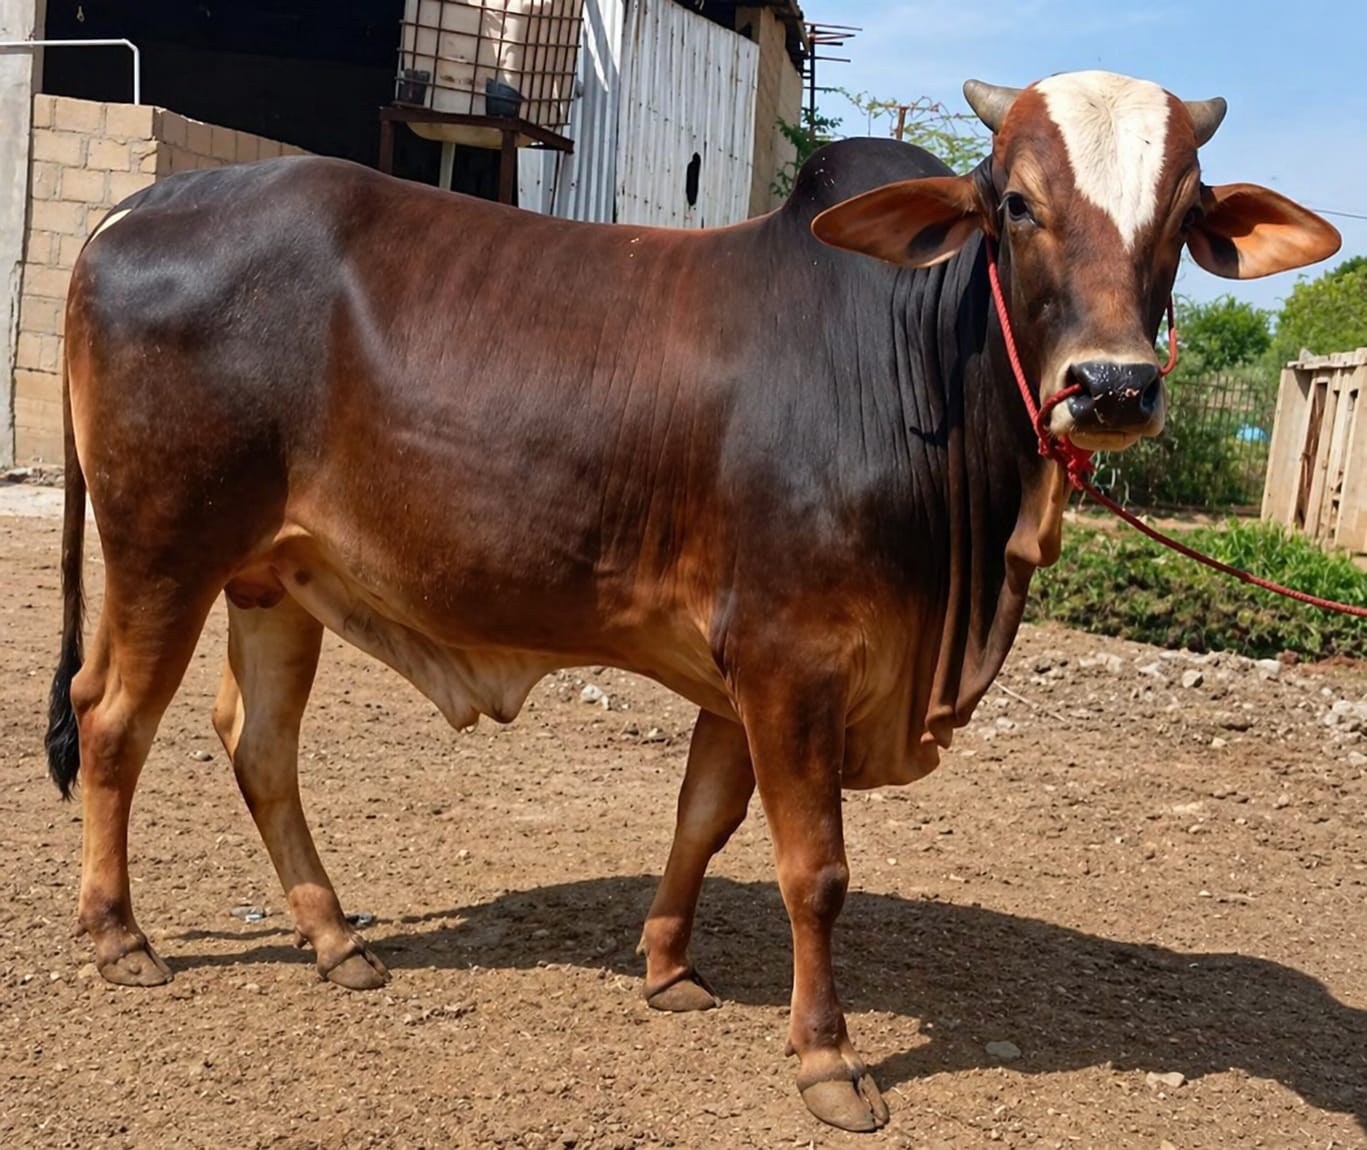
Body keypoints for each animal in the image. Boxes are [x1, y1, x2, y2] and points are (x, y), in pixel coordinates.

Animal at [46, 70, 1338, 1131]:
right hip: (164, 548)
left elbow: (702, 820)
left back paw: (331, 939)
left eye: (1182, 212)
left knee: (257, 742)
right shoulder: (790, 651)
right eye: (1013, 203)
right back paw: (120, 935)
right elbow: (814, 867)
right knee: (113, 719)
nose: (1111, 384)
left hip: (274, 575)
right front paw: (826, 1059)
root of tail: (133, 210)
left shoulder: (744, 666)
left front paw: (667, 968)